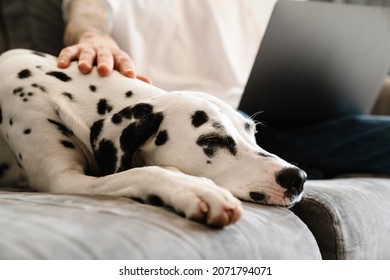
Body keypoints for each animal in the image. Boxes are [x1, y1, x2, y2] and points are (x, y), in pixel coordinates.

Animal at [0, 48, 306, 228]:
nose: (298, 177)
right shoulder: (63, 181)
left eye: (252, 133)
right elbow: (146, 172)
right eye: (213, 141)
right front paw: (195, 189)